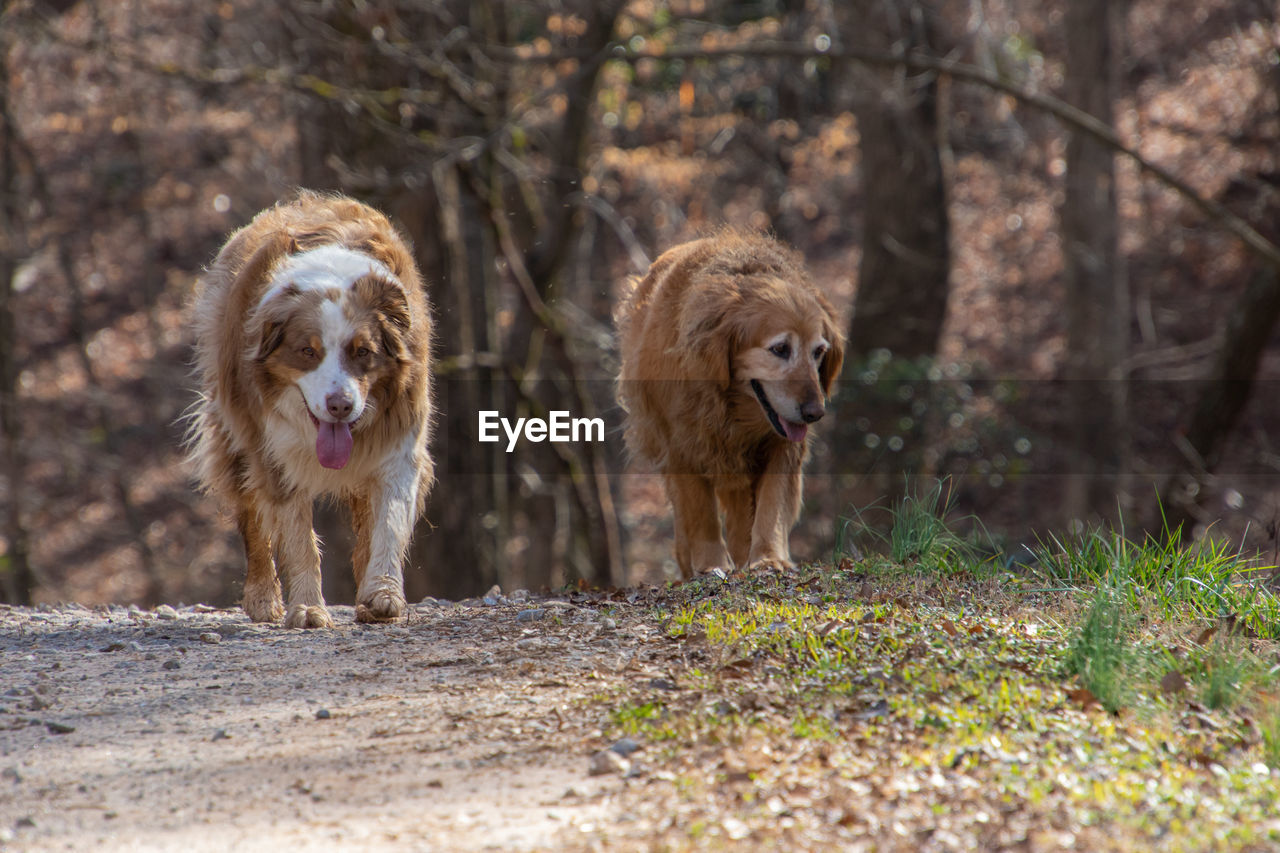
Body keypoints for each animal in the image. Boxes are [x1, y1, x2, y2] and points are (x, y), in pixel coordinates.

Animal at [186, 192, 435, 625]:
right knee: (250, 513)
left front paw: (382, 596)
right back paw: (262, 598)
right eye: (307, 352)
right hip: (234, 433)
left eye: (363, 352)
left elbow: (388, 520)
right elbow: (298, 534)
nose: (340, 406)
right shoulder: (273, 448)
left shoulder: (399, 436)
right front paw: (306, 609)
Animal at [616, 229, 844, 578]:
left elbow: (771, 506)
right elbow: (701, 514)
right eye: (780, 349)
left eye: (818, 351)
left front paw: (767, 557)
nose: (814, 414)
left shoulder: (781, 446)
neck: (733, 409)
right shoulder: (684, 446)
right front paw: (710, 564)